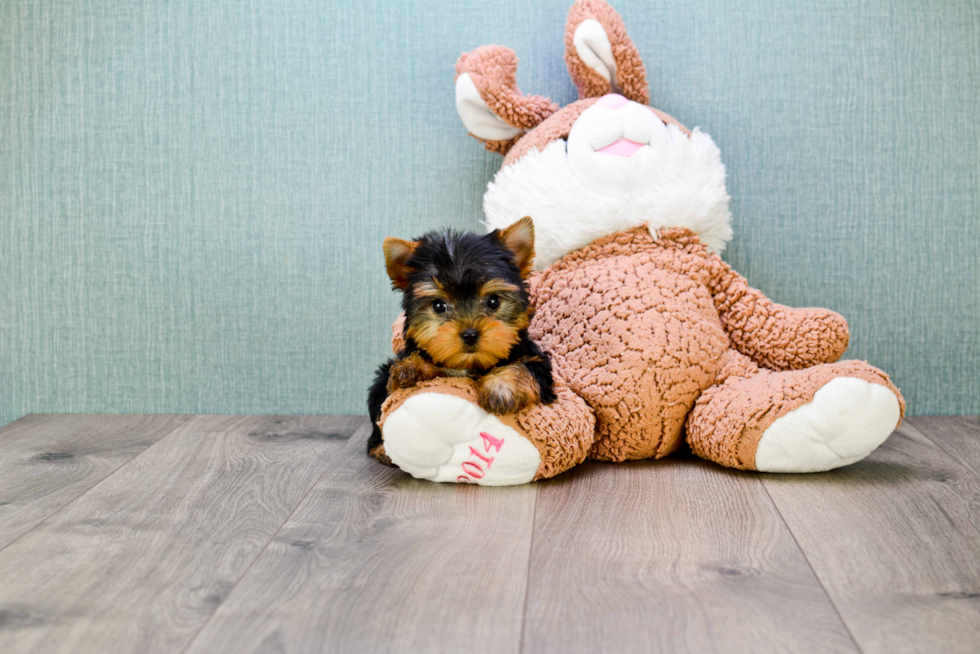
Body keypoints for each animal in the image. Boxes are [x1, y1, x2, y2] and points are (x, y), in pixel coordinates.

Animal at [366, 218, 556, 458]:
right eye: (439, 306)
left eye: (493, 301)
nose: (470, 334)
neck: (469, 365)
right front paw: (411, 368)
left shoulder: (537, 361)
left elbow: (523, 367)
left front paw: (501, 388)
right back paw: (381, 449)